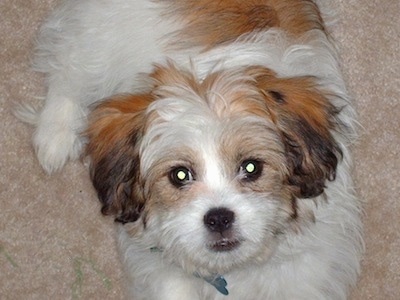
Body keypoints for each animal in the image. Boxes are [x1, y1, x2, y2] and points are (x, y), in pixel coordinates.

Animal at [22, 0, 366, 298]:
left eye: (251, 167)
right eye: (180, 175)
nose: (219, 218)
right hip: (98, 33)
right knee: (68, 67)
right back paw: (55, 135)